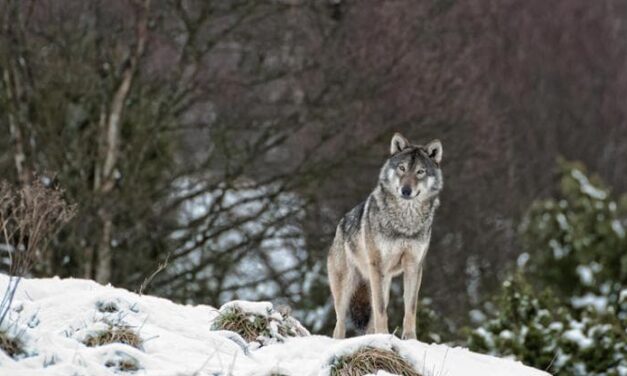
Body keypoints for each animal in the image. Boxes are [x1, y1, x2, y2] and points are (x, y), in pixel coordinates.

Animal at [328, 133, 442, 340]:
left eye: (420, 172)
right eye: (402, 168)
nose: (406, 190)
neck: (405, 221)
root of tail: (340, 224)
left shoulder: (414, 266)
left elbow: (410, 307)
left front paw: (410, 338)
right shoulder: (377, 266)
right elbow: (381, 309)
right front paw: (383, 335)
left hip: (383, 282)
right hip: (347, 288)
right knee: (339, 323)